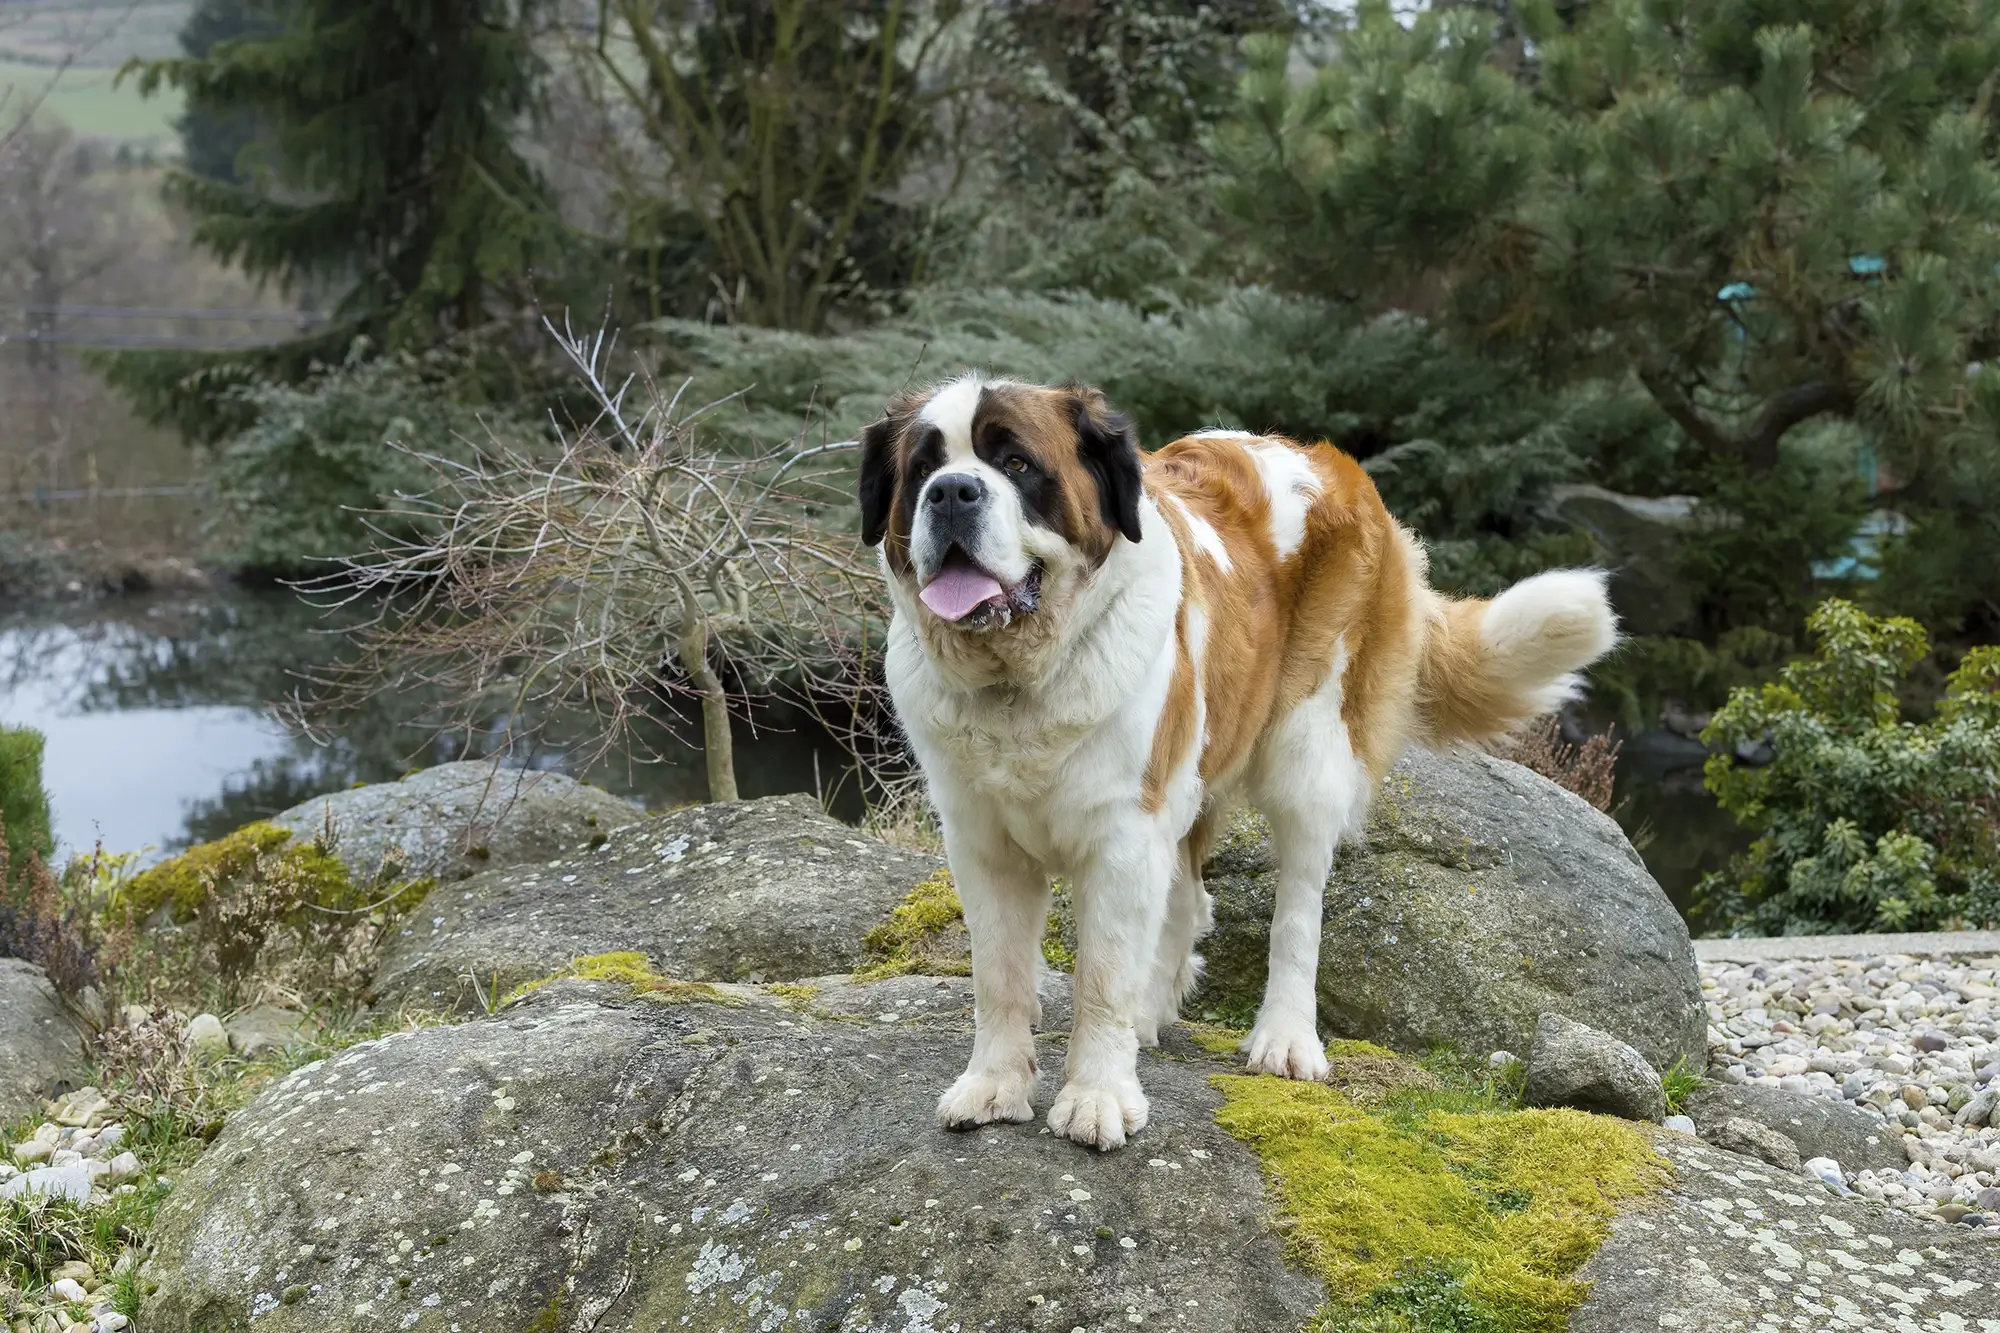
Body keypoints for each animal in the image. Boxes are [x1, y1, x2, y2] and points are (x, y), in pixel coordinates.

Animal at [852, 370, 1616, 1144]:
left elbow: (1102, 977)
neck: (1019, 681)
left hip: (1310, 751)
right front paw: (994, 1085)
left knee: (1299, 908)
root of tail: (1325, 458)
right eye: (923, 467)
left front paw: (1097, 1095)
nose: (952, 492)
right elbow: (1000, 976)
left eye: (1016, 464)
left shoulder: (1123, 833)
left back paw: (1285, 1037)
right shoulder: (983, 842)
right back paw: (1153, 1014)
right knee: (1188, 898)